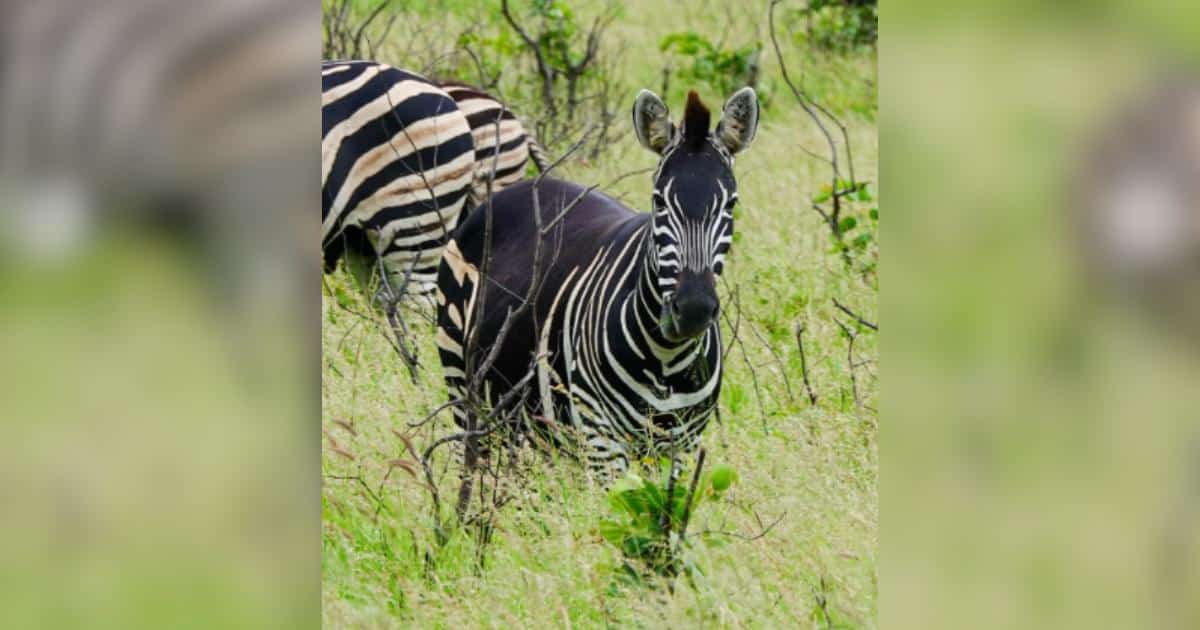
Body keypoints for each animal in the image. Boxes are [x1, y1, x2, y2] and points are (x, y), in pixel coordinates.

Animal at [436, 87, 759, 478]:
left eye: (731, 204)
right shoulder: (601, 439)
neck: (667, 361)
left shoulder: (681, 446)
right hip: (461, 382)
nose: (694, 309)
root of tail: (522, 186)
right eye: (658, 202)